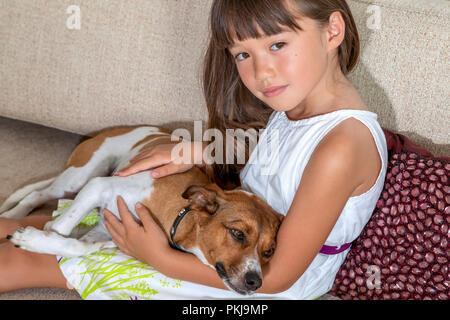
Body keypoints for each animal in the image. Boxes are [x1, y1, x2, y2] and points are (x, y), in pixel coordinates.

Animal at [0, 125, 282, 296]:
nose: (256, 281)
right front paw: (40, 236)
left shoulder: (110, 232)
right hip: (79, 178)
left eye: (269, 251)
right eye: (238, 234)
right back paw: (12, 215)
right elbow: (62, 226)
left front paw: (40, 240)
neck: (178, 215)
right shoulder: (97, 186)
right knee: (38, 194)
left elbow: (77, 246)